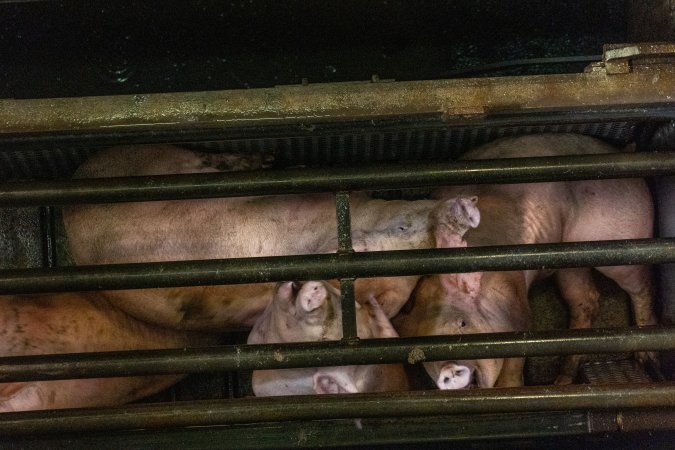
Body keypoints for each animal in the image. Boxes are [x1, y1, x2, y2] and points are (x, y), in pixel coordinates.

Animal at [398, 132, 656, 388]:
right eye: (425, 359)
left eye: (462, 323)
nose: (449, 371)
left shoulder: (516, 305)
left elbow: (515, 359)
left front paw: (511, 386)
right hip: (568, 261)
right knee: (586, 300)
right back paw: (562, 381)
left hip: (620, 241)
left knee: (640, 286)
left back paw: (646, 358)